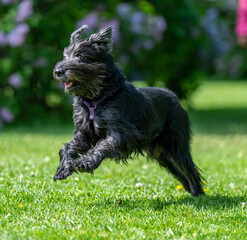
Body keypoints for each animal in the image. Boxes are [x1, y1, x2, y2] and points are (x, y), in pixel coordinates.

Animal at [52, 24, 205, 197]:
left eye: (81, 56)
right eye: (65, 56)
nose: (58, 71)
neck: (95, 100)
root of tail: (175, 98)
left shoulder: (123, 132)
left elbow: (102, 146)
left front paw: (85, 163)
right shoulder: (84, 132)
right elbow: (68, 147)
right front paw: (63, 169)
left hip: (176, 146)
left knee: (189, 169)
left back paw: (198, 193)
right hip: (162, 154)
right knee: (180, 172)